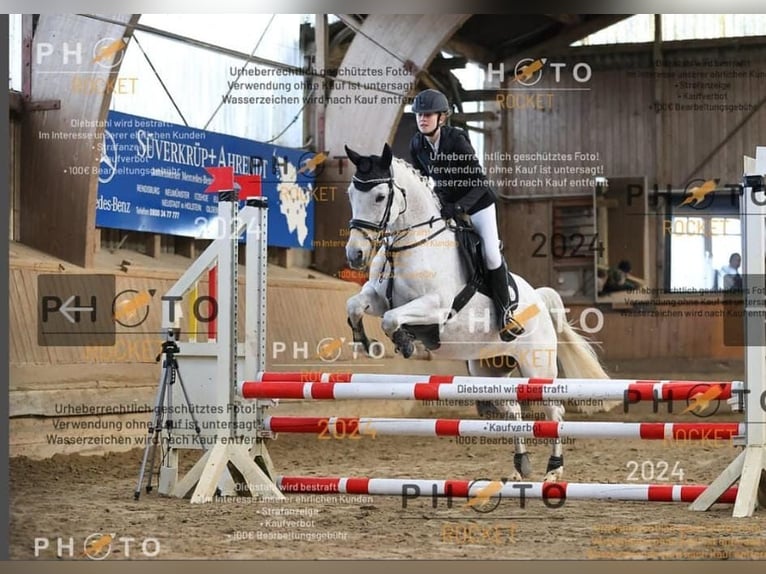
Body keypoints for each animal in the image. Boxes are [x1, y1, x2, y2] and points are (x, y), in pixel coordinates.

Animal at [344, 143, 612, 482]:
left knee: (554, 411)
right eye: (351, 193)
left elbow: (393, 320)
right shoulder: (378, 298)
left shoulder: (436, 306)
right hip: (490, 368)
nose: (355, 255)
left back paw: (554, 470)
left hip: (537, 368)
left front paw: (405, 342)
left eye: (380, 197)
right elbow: (355, 305)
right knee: (512, 411)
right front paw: (365, 342)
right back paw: (520, 466)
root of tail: (538, 298)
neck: (409, 247)